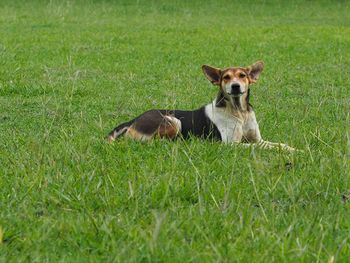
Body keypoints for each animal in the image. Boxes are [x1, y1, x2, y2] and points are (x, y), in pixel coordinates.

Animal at [106, 61, 296, 153]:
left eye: (243, 75)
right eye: (226, 77)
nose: (235, 86)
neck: (239, 112)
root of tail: (134, 119)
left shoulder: (258, 139)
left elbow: (280, 145)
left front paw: (295, 150)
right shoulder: (231, 144)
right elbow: (255, 147)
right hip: (174, 121)